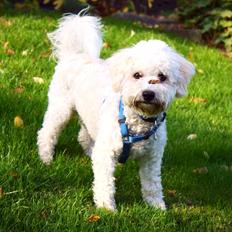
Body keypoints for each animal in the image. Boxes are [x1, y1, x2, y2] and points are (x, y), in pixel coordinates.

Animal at [37, 13, 195, 211]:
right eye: (137, 75)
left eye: (162, 77)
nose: (148, 94)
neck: (136, 120)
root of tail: (75, 56)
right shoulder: (107, 154)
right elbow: (105, 183)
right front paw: (106, 208)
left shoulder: (152, 158)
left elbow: (152, 184)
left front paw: (156, 207)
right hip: (60, 109)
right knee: (46, 132)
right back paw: (45, 158)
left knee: (83, 135)